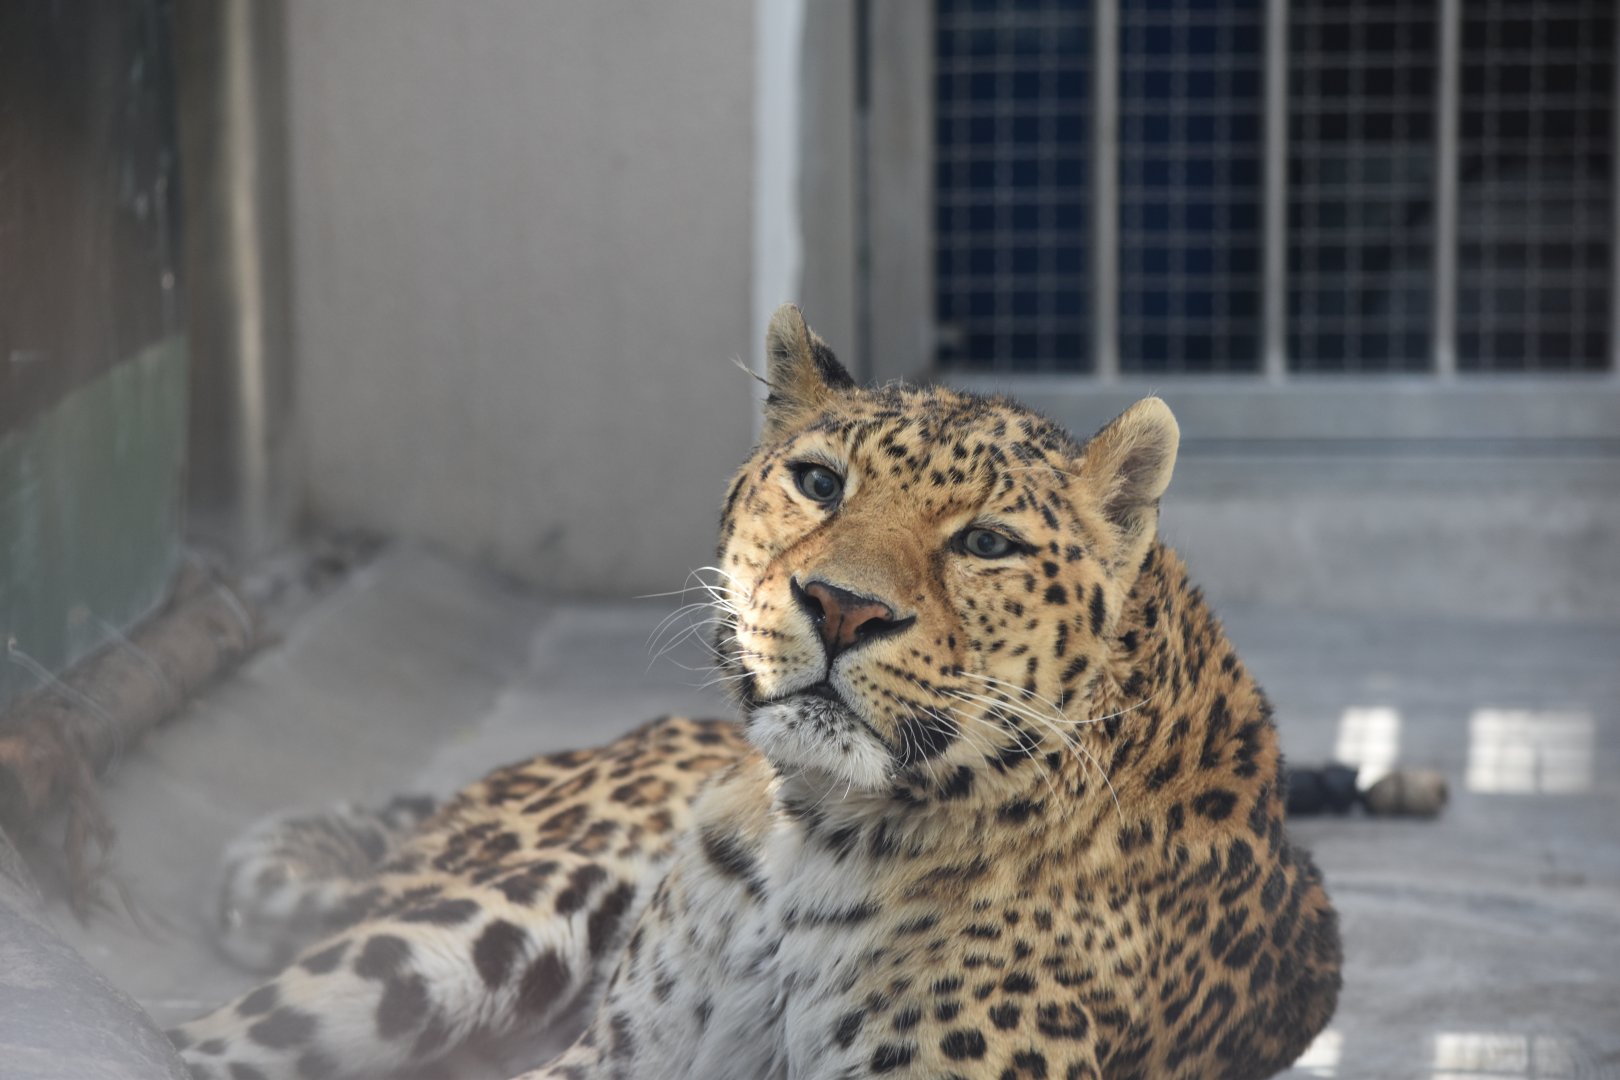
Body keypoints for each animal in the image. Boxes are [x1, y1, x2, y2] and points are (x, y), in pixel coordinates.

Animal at [167, 304, 1341, 1080]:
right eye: (819, 482)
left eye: (986, 544)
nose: (842, 606)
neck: (815, 837)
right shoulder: (614, 1058)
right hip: (470, 922)